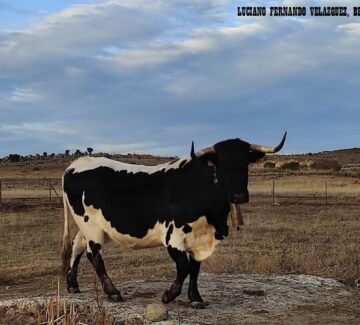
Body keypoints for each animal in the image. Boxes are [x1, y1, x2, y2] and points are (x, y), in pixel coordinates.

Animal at [62, 133, 286, 308]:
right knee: (94, 256)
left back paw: (72, 284)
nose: (239, 196)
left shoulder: (198, 239)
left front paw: (195, 298)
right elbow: (184, 267)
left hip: (88, 227)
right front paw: (169, 295)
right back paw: (112, 292)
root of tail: (76, 164)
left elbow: (195, 268)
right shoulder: (173, 236)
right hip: (91, 226)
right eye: (221, 164)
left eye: (245, 163)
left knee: (77, 246)